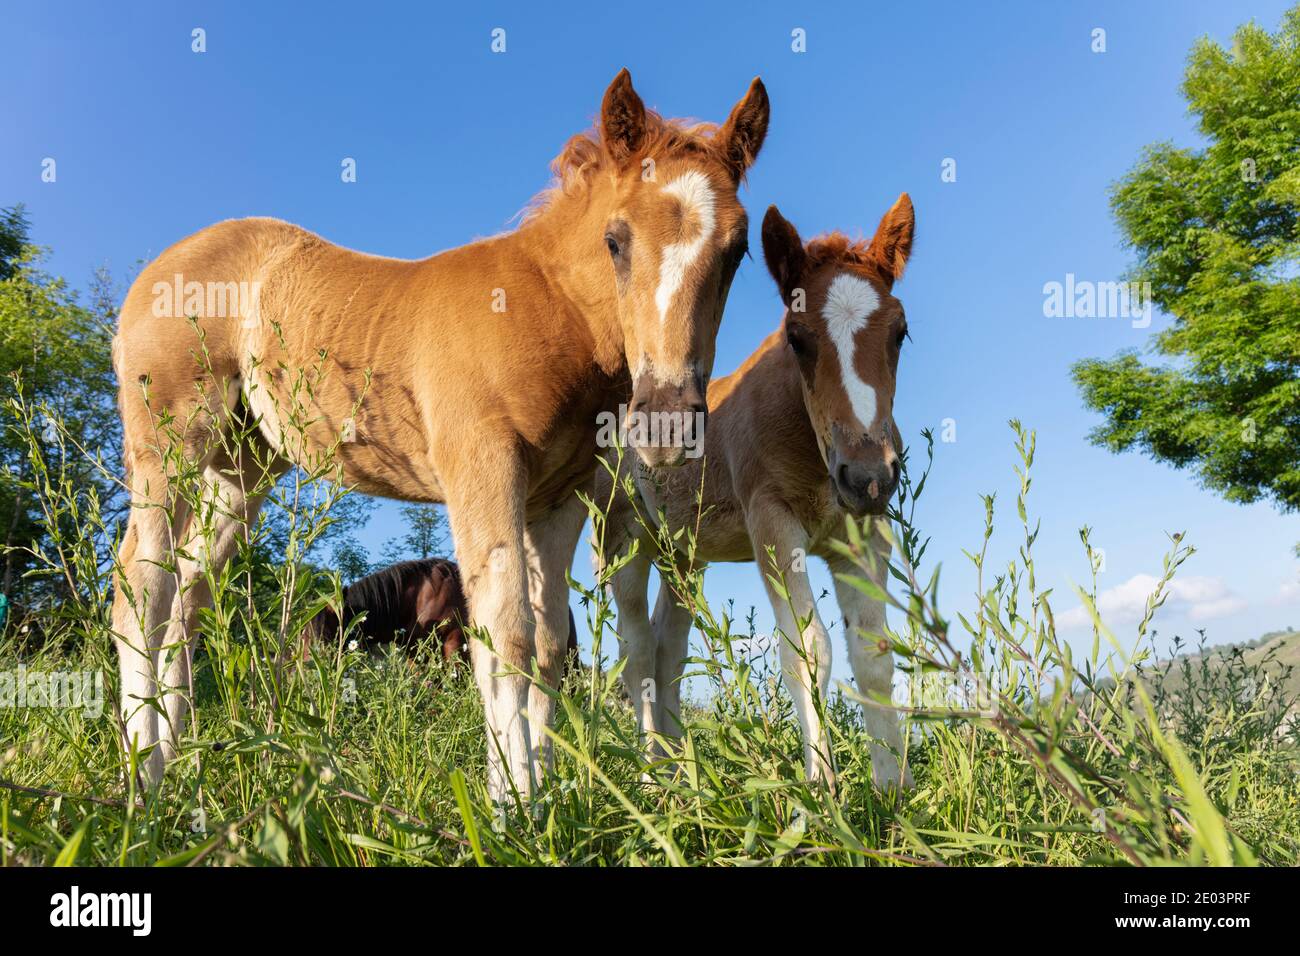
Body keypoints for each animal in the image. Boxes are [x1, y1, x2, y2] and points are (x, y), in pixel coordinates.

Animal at [595, 196, 915, 790]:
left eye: (900, 331)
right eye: (797, 337)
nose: (868, 477)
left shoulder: (863, 536)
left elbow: (875, 655)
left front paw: (893, 793)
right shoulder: (772, 522)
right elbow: (808, 651)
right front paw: (822, 791)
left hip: (684, 557)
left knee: (667, 649)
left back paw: (683, 776)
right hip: (623, 543)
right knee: (635, 652)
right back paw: (651, 778)